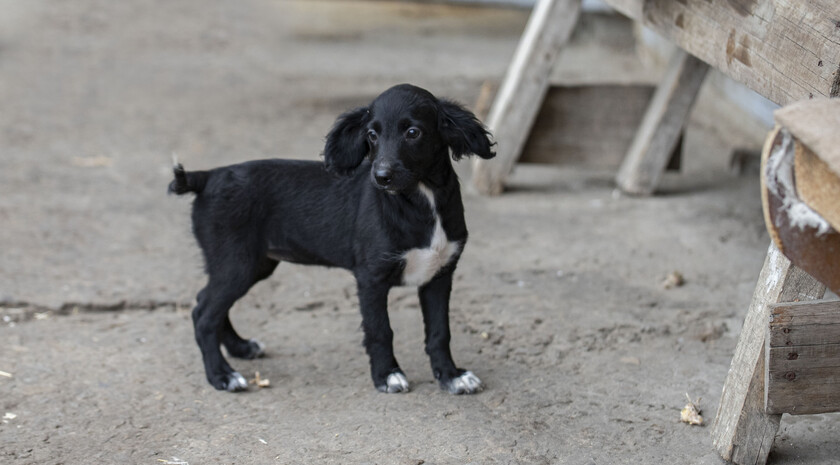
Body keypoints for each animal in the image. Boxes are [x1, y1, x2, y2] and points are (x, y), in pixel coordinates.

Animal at [172, 83, 492, 392]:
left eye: (413, 132)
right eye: (372, 135)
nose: (381, 176)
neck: (421, 197)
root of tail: (208, 176)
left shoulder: (439, 274)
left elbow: (440, 332)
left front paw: (451, 376)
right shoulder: (371, 278)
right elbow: (380, 330)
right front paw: (387, 375)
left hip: (251, 265)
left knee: (209, 303)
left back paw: (240, 347)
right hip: (236, 263)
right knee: (203, 314)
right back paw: (222, 375)